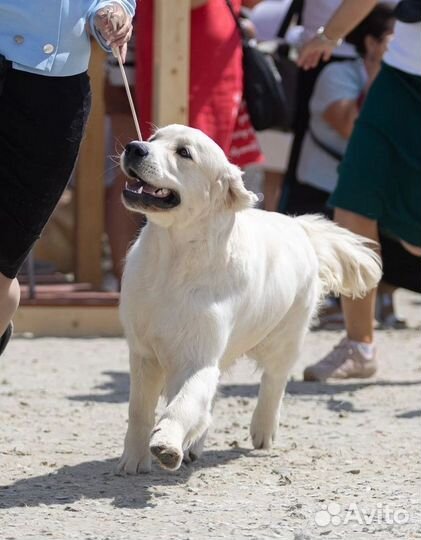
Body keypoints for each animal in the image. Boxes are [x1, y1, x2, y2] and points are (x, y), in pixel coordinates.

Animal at [115, 125, 380, 472]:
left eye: (184, 153)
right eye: (153, 138)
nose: (135, 148)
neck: (173, 260)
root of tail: (298, 225)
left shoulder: (198, 357)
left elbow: (184, 403)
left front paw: (167, 443)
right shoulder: (144, 352)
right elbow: (139, 409)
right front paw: (134, 458)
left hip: (286, 335)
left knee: (274, 381)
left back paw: (262, 430)